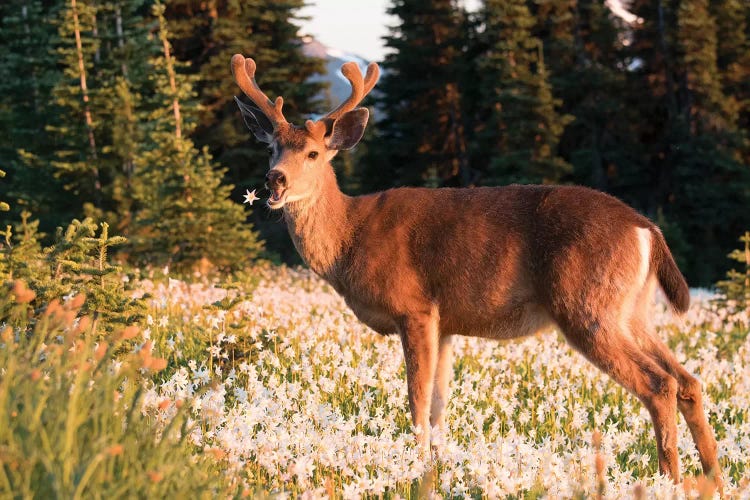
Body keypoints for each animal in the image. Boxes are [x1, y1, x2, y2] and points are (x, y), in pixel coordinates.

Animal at [232, 53, 724, 492]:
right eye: (272, 148)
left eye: (314, 153)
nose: (275, 180)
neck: (350, 237)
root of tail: (647, 229)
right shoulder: (446, 324)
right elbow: (438, 406)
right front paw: (436, 467)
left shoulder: (415, 308)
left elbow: (416, 401)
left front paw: (414, 468)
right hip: (631, 310)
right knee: (689, 381)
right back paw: (714, 479)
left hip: (586, 305)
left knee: (659, 384)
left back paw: (668, 480)